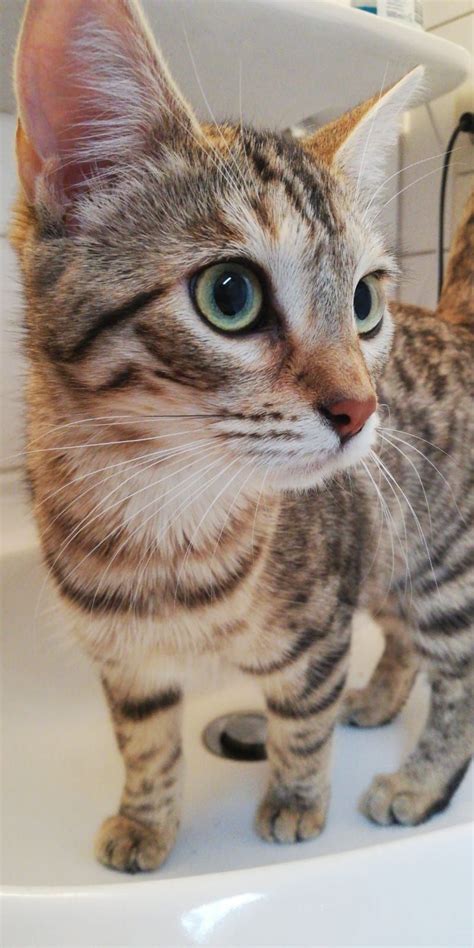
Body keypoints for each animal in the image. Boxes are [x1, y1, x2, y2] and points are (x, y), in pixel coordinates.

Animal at [12, 0, 472, 872]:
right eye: (231, 294)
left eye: (364, 303)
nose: (362, 410)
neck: (165, 520)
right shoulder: (125, 657)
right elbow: (145, 742)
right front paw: (146, 820)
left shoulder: (321, 624)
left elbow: (302, 724)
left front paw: (294, 801)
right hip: (389, 553)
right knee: (399, 637)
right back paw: (377, 697)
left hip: (443, 568)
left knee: (457, 678)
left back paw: (419, 783)